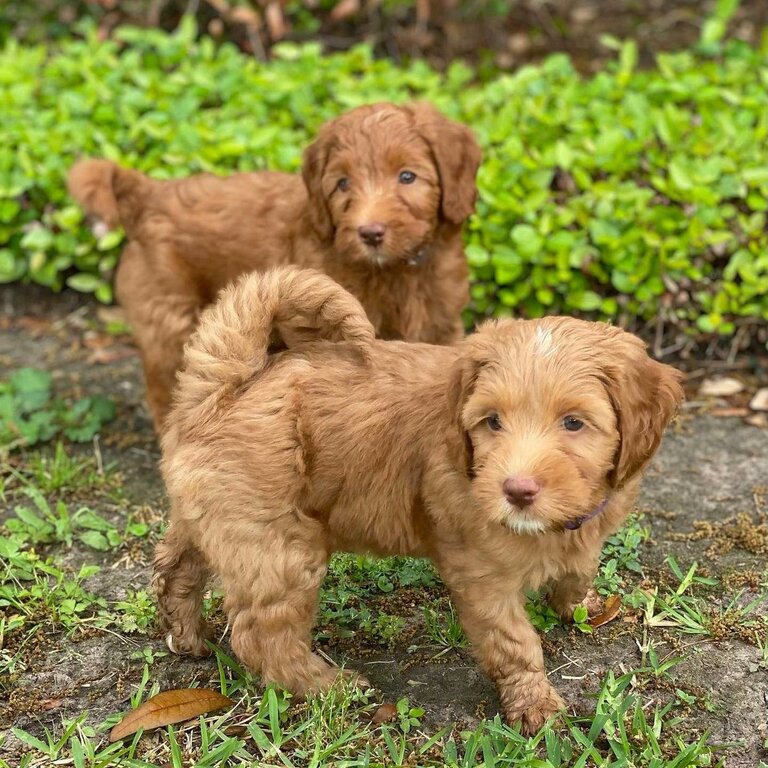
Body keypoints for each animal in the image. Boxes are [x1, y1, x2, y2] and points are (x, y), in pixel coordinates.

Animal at [153, 268, 680, 732]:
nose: (516, 490)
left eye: (574, 423)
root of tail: (225, 388)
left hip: (215, 515)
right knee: (262, 634)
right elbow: (513, 640)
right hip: (276, 542)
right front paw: (534, 705)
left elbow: (580, 567)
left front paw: (582, 605)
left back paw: (186, 636)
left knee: (177, 566)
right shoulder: (480, 572)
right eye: (492, 421)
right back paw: (327, 686)